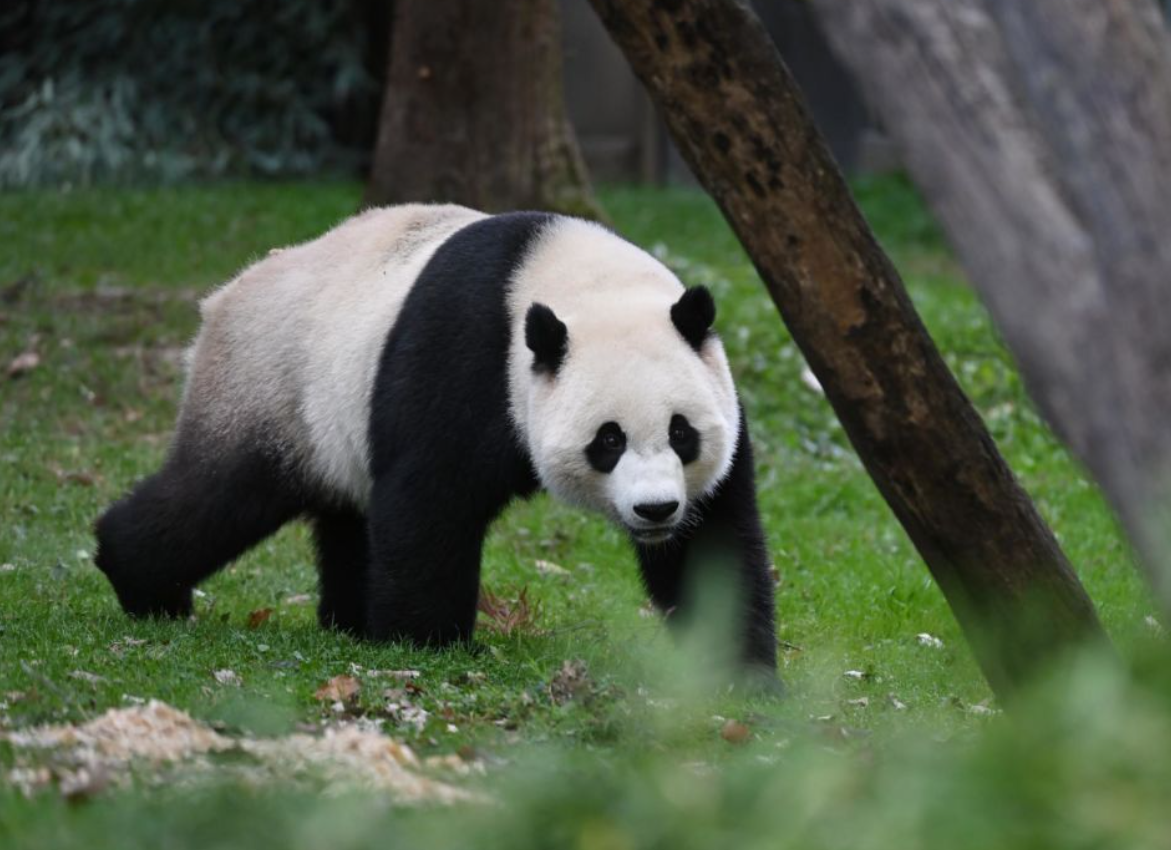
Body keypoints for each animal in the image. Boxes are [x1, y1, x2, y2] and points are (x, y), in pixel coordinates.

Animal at [93, 204, 777, 674]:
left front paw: (739, 669)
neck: (579, 282)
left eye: (682, 433)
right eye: (607, 441)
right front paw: (428, 643)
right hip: (271, 385)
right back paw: (141, 581)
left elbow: (712, 542)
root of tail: (223, 297)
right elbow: (430, 500)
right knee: (221, 493)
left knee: (350, 520)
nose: (656, 510)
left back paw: (348, 620)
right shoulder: (469, 354)